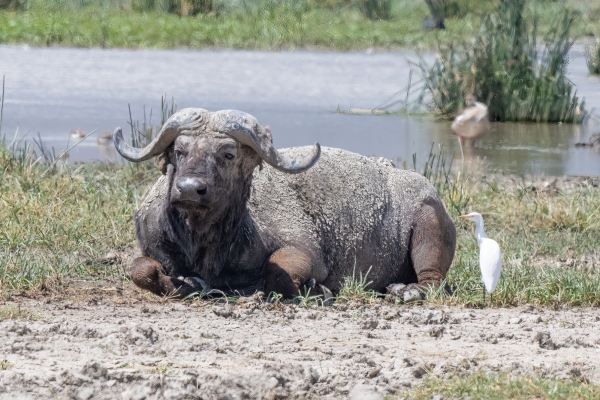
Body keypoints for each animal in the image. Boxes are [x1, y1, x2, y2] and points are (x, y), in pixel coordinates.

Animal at [113, 108, 454, 298]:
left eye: (228, 154)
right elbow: (140, 269)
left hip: (429, 224)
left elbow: (278, 275)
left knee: (432, 279)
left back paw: (406, 291)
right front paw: (186, 284)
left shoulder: (305, 251)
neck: (205, 242)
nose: (188, 189)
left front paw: (317, 289)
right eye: (179, 151)